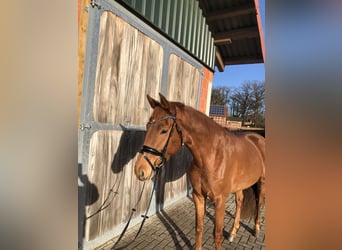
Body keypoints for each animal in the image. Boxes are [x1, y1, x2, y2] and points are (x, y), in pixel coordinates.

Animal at [135, 94, 266, 250]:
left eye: (164, 130)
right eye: (148, 126)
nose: (140, 170)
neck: (212, 156)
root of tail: (258, 138)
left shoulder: (220, 201)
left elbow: (217, 235)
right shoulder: (198, 196)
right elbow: (199, 227)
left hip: (262, 181)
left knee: (259, 202)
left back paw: (257, 229)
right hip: (239, 186)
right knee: (240, 201)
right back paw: (233, 233)